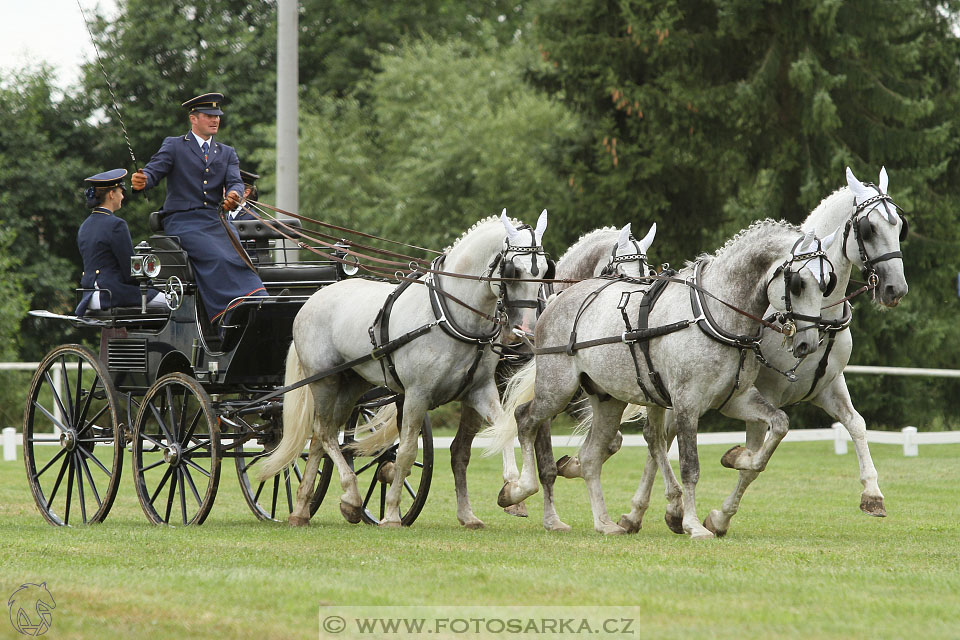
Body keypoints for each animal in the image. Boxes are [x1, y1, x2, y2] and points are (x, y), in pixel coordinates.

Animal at [256, 212, 548, 528]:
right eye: (513, 271)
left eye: (545, 271)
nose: (525, 331)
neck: (449, 316)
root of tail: (312, 299)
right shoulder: (417, 394)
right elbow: (407, 452)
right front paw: (393, 513)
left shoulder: (479, 391)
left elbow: (504, 429)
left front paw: (513, 492)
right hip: (325, 381)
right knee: (323, 432)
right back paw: (349, 496)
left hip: (351, 384)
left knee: (324, 437)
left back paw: (303, 509)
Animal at [488, 220, 832, 540]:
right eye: (798, 283)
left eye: (827, 283)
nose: (808, 343)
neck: (714, 313)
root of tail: (555, 301)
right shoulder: (686, 404)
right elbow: (690, 467)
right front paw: (694, 524)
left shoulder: (735, 399)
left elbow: (779, 425)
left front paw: (741, 459)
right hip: (557, 390)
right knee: (526, 419)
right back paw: (518, 490)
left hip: (608, 400)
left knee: (590, 457)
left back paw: (604, 523)